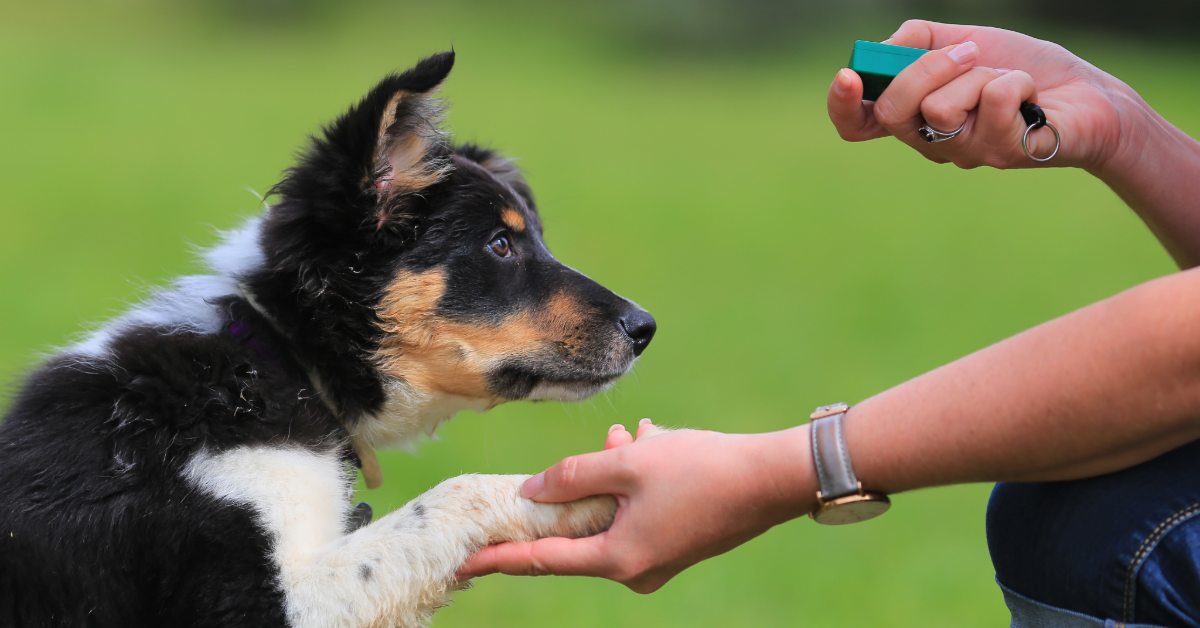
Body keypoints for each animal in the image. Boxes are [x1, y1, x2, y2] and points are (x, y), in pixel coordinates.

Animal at [0, 54, 657, 628]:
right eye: (500, 244)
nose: (646, 328)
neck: (275, 361)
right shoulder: (255, 601)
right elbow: (454, 494)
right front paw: (585, 489)